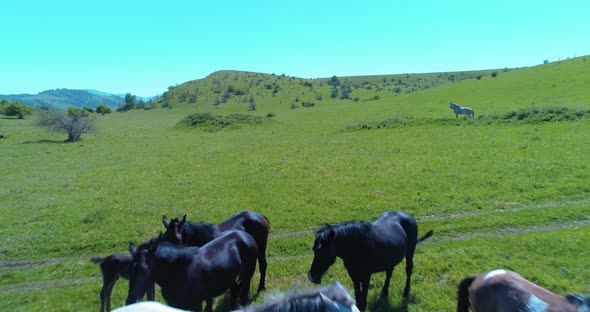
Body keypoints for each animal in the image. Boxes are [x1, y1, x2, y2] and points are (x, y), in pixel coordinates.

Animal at [126, 229, 258, 312]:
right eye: (129, 271)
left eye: (144, 270)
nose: (129, 301)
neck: (180, 272)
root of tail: (245, 235)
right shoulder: (175, 305)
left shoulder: (196, 305)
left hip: (247, 277)